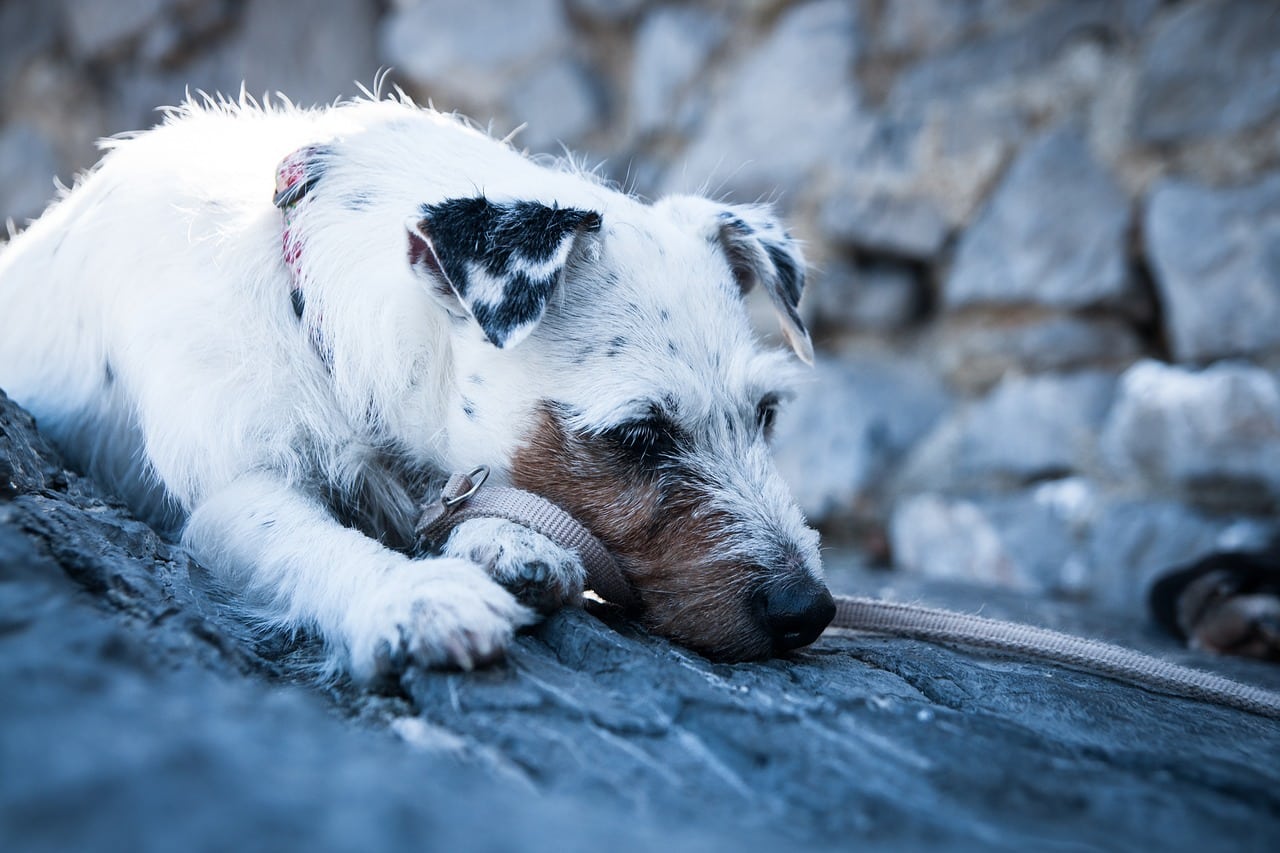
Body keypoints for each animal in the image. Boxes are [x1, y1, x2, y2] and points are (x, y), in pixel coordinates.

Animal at [0, 91, 834, 676]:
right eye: (638, 434)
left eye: (765, 414)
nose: (811, 609)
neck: (307, 297)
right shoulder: (232, 489)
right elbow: (305, 538)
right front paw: (414, 595)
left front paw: (507, 539)